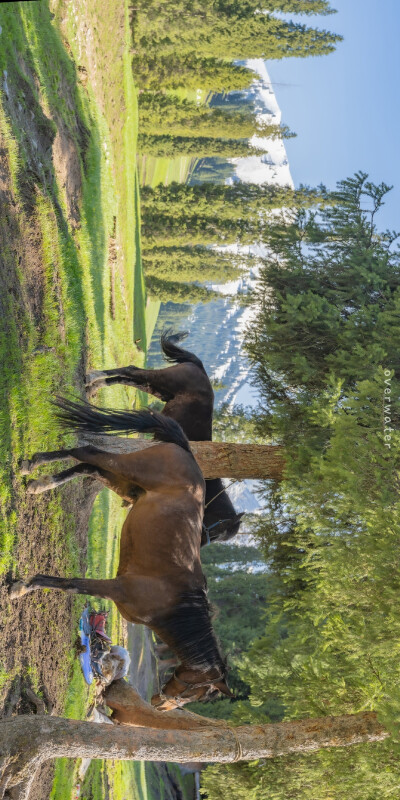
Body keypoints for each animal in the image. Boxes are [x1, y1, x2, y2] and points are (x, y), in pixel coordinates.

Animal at [10, 404, 231, 708]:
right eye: (190, 692)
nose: (159, 705)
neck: (175, 602)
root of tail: (185, 450)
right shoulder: (116, 587)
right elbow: (72, 584)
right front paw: (23, 586)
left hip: (125, 484)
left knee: (88, 466)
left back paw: (40, 483)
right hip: (127, 469)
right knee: (86, 452)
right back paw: (33, 466)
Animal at [85, 330, 244, 544]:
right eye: (219, 531)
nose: (198, 543)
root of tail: (200, 367)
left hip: (155, 388)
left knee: (127, 379)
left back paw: (94, 386)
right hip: (161, 380)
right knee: (131, 370)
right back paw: (93, 377)